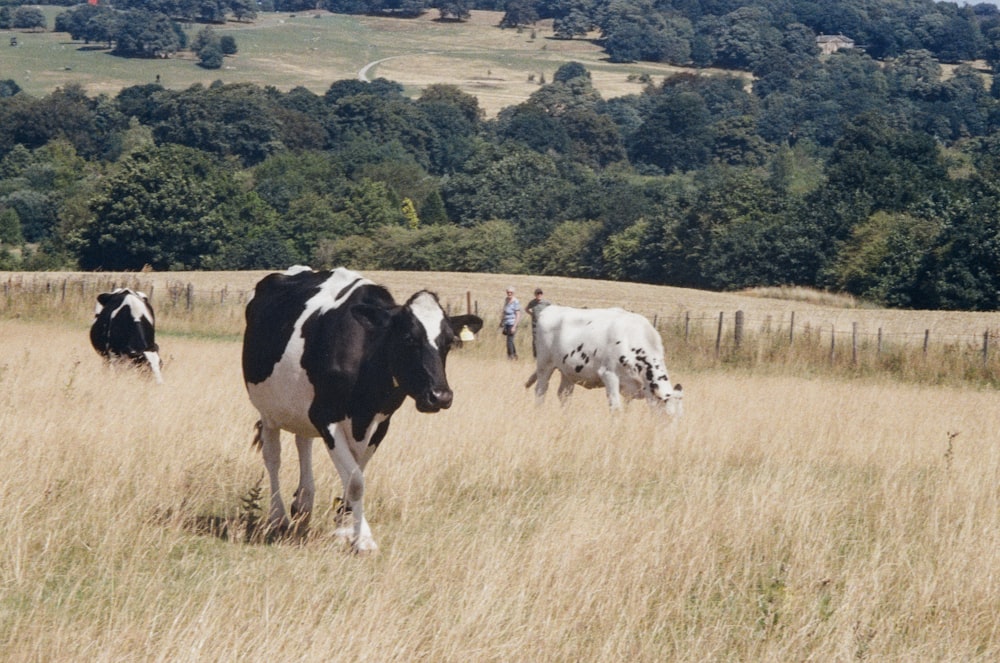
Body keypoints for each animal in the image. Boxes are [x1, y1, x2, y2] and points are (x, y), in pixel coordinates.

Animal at [238, 268, 480, 552]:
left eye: (449, 342)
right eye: (408, 338)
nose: (440, 396)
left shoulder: (380, 422)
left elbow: (356, 472)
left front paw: (345, 528)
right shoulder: (326, 417)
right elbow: (354, 481)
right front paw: (362, 539)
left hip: (300, 407)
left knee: (303, 443)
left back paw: (303, 505)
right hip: (268, 411)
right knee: (273, 458)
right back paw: (278, 517)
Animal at [524, 304, 680, 416]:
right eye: (667, 416)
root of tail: (551, 308)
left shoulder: (632, 387)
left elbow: (627, 410)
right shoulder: (609, 375)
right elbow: (616, 409)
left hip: (568, 371)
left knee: (564, 395)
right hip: (545, 364)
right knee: (541, 390)